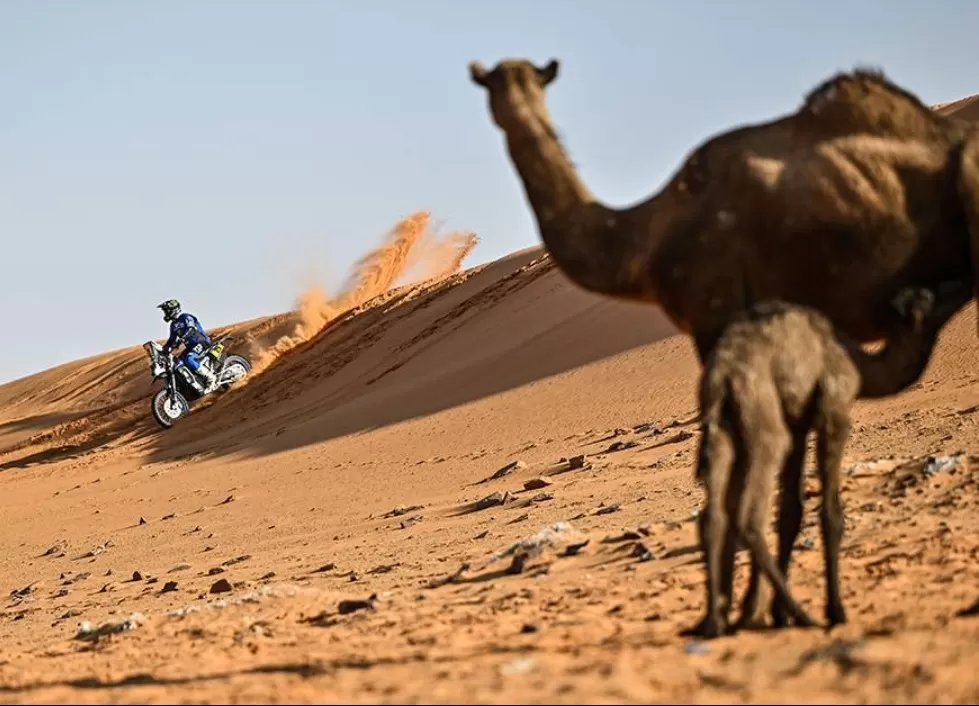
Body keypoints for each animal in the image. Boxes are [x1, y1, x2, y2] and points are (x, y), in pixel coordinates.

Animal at [684, 280, 968, 640]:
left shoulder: (798, 422)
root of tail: (722, 376)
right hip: (762, 418)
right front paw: (835, 611)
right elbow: (831, 513)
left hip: (723, 428)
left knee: (714, 515)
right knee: (749, 514)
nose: (962, 287)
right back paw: (800, 614)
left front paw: (774, 615)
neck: (857, 362)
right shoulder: (833, 407)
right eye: (930, 298)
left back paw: (713, 623)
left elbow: (791, 511)